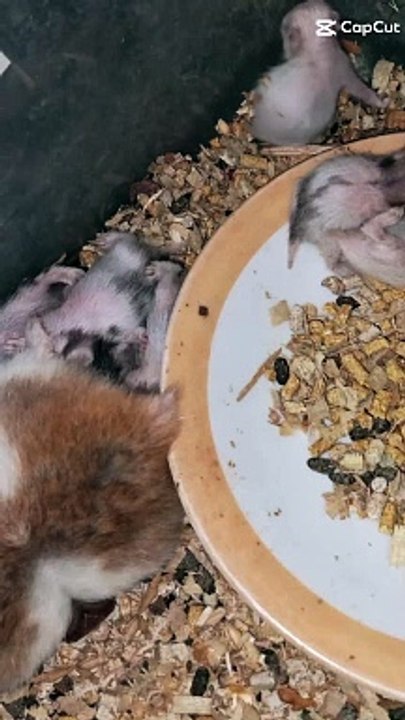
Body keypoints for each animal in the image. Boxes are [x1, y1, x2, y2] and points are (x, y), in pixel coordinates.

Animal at [252, 0, 387, 146]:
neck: (318, 49)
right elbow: (361, 89)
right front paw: (383, 102)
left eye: (284, 29)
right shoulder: (344, 68)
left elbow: (361, 89)